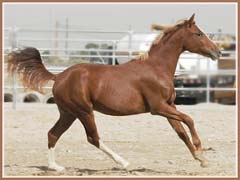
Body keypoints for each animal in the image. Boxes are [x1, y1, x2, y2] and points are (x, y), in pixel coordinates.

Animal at [7, 14, 221, 172]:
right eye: (198, 34)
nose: (217, 52)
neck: (156, 68)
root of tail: (59, 76)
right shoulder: (158, 108)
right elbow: (189, 120)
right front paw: (200, 150)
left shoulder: (169, 106)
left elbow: (181, 132)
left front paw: (201, 159)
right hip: (84, 111)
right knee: (93, 138)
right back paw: (124, 163)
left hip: (68, 113)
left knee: (53, 133)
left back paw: (55, 167)